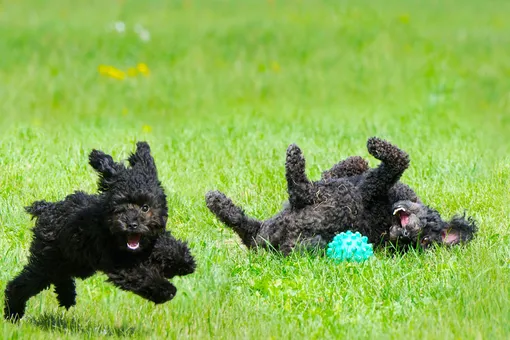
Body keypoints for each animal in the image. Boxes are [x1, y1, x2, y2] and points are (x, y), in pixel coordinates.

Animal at [3, 141, 195, 322]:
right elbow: (143, 275)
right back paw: (13, 314)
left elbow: (166, 244)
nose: (131, 224)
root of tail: (46, 208)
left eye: (145, 207)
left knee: (60, 277)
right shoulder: (121, 263)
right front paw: (166, 289)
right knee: (21, 284)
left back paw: (67, 297)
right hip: (48, 261)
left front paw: (184, 261)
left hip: (74, 262)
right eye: (119, 206)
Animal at [205, 137, 476, 254]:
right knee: (244, 225)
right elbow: (354, 162)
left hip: (323, 202)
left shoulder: (368, 185)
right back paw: (219, 203)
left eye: (424, 241)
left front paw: (375, 144)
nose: (407, 234)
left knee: (298, 188)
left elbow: (399, 160)